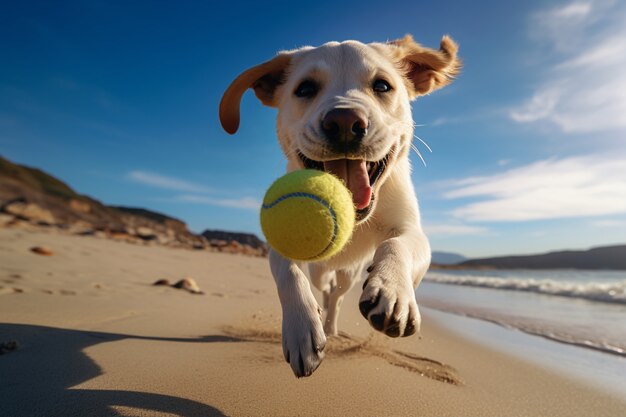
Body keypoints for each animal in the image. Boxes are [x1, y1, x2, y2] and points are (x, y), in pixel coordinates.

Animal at [219, 34, 458, 376]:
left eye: (382, 85)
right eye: (305, 88)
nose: (344, 121)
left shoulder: (411, 230)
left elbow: (397, 245)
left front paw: (393, 290)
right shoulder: (280, 243)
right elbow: (288, 273)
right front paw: (301, 328)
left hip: (350, 273)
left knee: (338, 296)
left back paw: (332, 324)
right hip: (321, 268)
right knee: (324, 285)